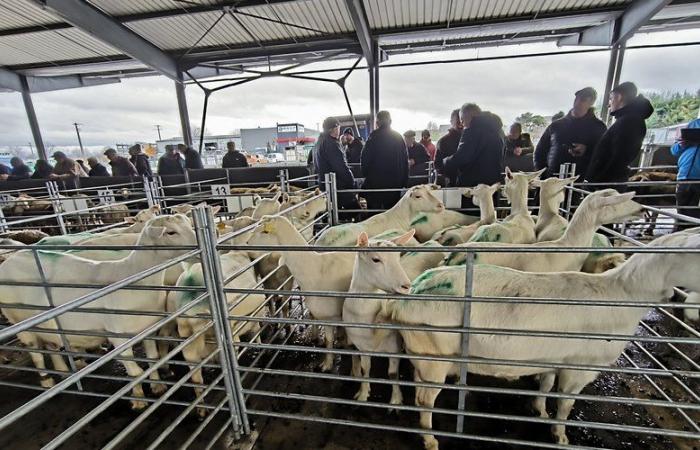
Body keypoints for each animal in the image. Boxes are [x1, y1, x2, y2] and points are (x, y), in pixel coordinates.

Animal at [0, 214, 197, 408]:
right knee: (36, 354)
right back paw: (47, 382)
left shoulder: (147, 330)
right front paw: (139, 399)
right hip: (19, 322)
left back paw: (63, 372)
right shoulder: (118, 338)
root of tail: (9, 261)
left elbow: (153, 359)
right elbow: (134, 371)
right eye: (170, 232)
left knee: (52, 346)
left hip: (46, 325)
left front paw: (157, 386)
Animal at [386, 230, 696, 448]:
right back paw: (430, 439)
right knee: (424, 399)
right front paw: (560, 435)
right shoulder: (579, 367)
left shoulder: (552, 358)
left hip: (422, 354)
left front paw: (540, 411)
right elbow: (566, 405)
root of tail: (409, 296)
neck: (623, 295)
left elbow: (546, 386)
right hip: (434, 357)